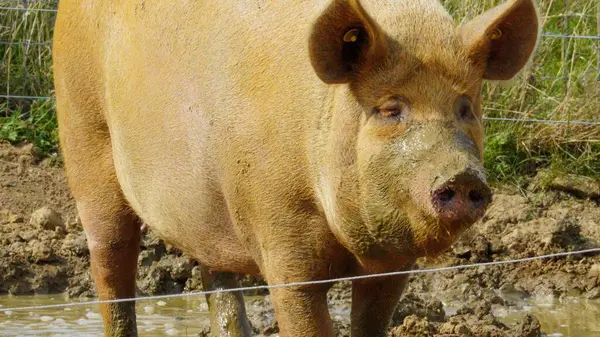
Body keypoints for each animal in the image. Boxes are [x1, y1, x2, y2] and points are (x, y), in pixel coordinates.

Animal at [51, 0, 540, 334]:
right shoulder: (281, 233)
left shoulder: (393, 267)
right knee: (112, 266)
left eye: (465, 107)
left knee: (218, 278)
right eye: (389, 108)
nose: (462, 175)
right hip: (83, 133)